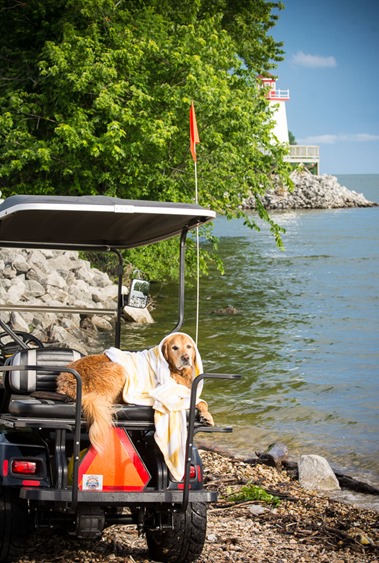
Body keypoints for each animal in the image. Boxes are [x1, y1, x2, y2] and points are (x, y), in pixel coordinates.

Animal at [58, 332, 215, 456]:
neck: (175, 370)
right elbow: (199, 401)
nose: (186, 358)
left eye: (189, 346)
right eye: (174, 347)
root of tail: (68, 379)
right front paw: (207, 415)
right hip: (118, 369)